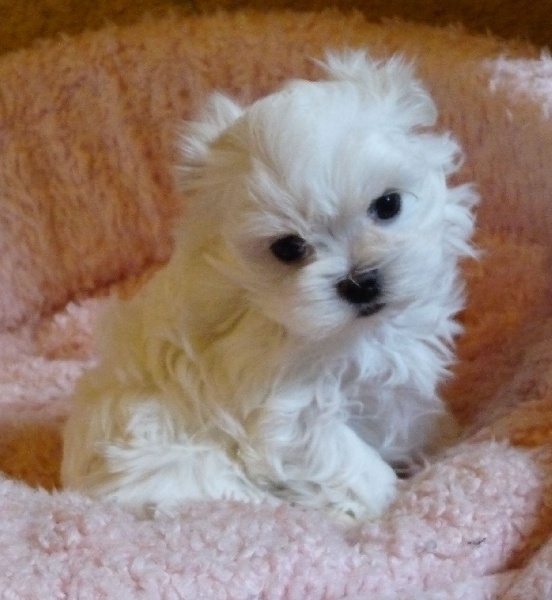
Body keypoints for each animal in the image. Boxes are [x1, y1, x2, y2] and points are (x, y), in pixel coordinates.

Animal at [61, 51, 477, 520]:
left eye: (388, 205)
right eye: (289, 248)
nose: (360, 282)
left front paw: (441, 438)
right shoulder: (291, 411)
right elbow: (346, 459)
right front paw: (383, 503)